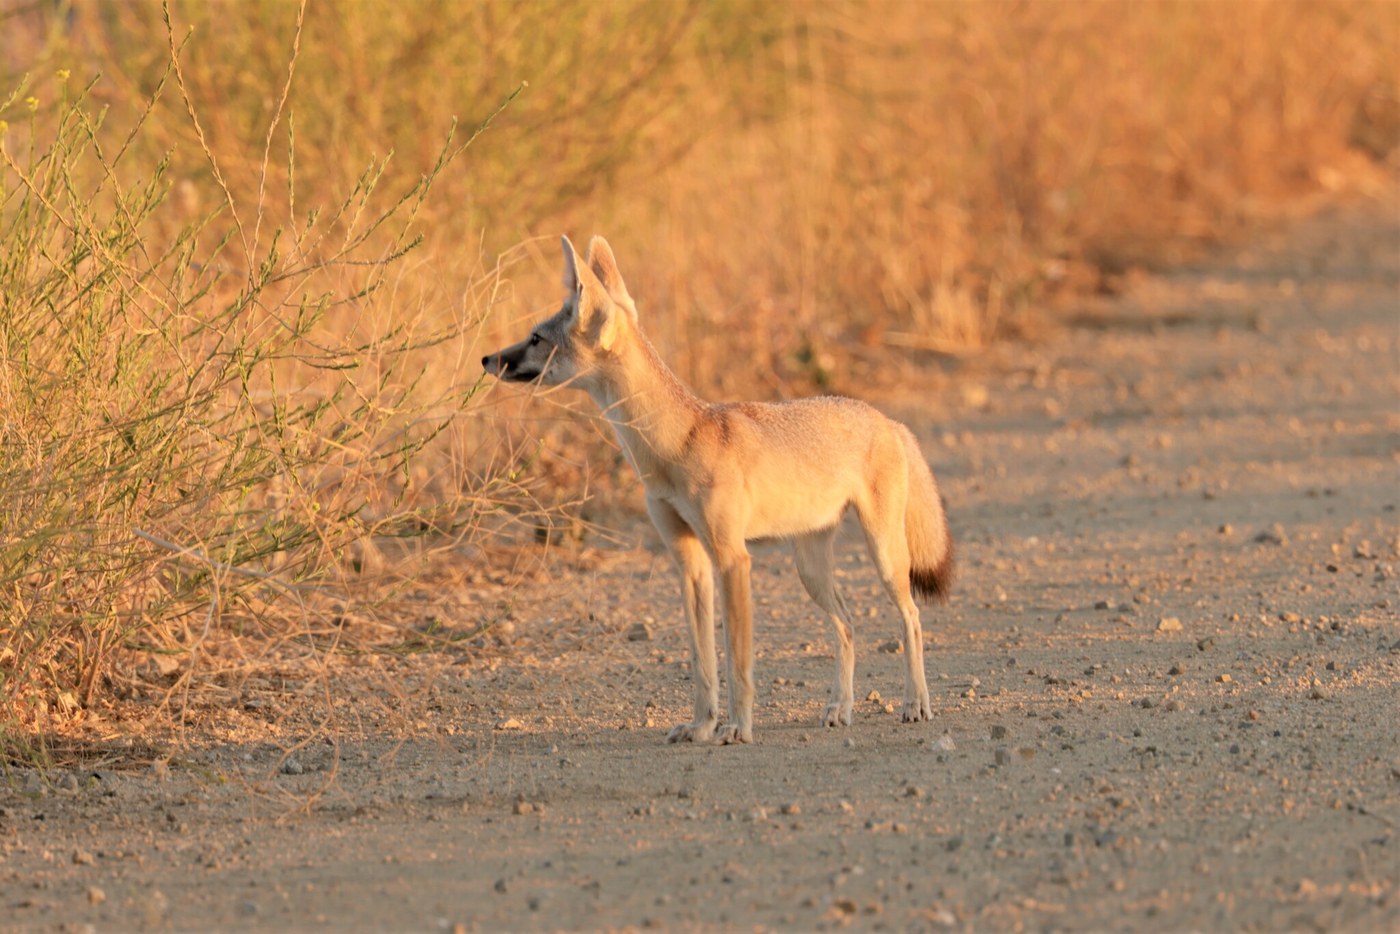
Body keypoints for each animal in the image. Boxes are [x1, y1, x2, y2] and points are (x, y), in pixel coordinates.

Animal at [482, 236, 954, 744]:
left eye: (535, 338)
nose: (486, 358)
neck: (672, 445)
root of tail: (887, 420)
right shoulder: (689, 561)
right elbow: (703, 662)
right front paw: (701, 725)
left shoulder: (732, 558)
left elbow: (738, 661)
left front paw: (737, 727)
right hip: (810, 569)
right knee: (847, 628)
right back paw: (838, 709)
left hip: (883, 557)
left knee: (912, 620)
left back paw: (915, 703)